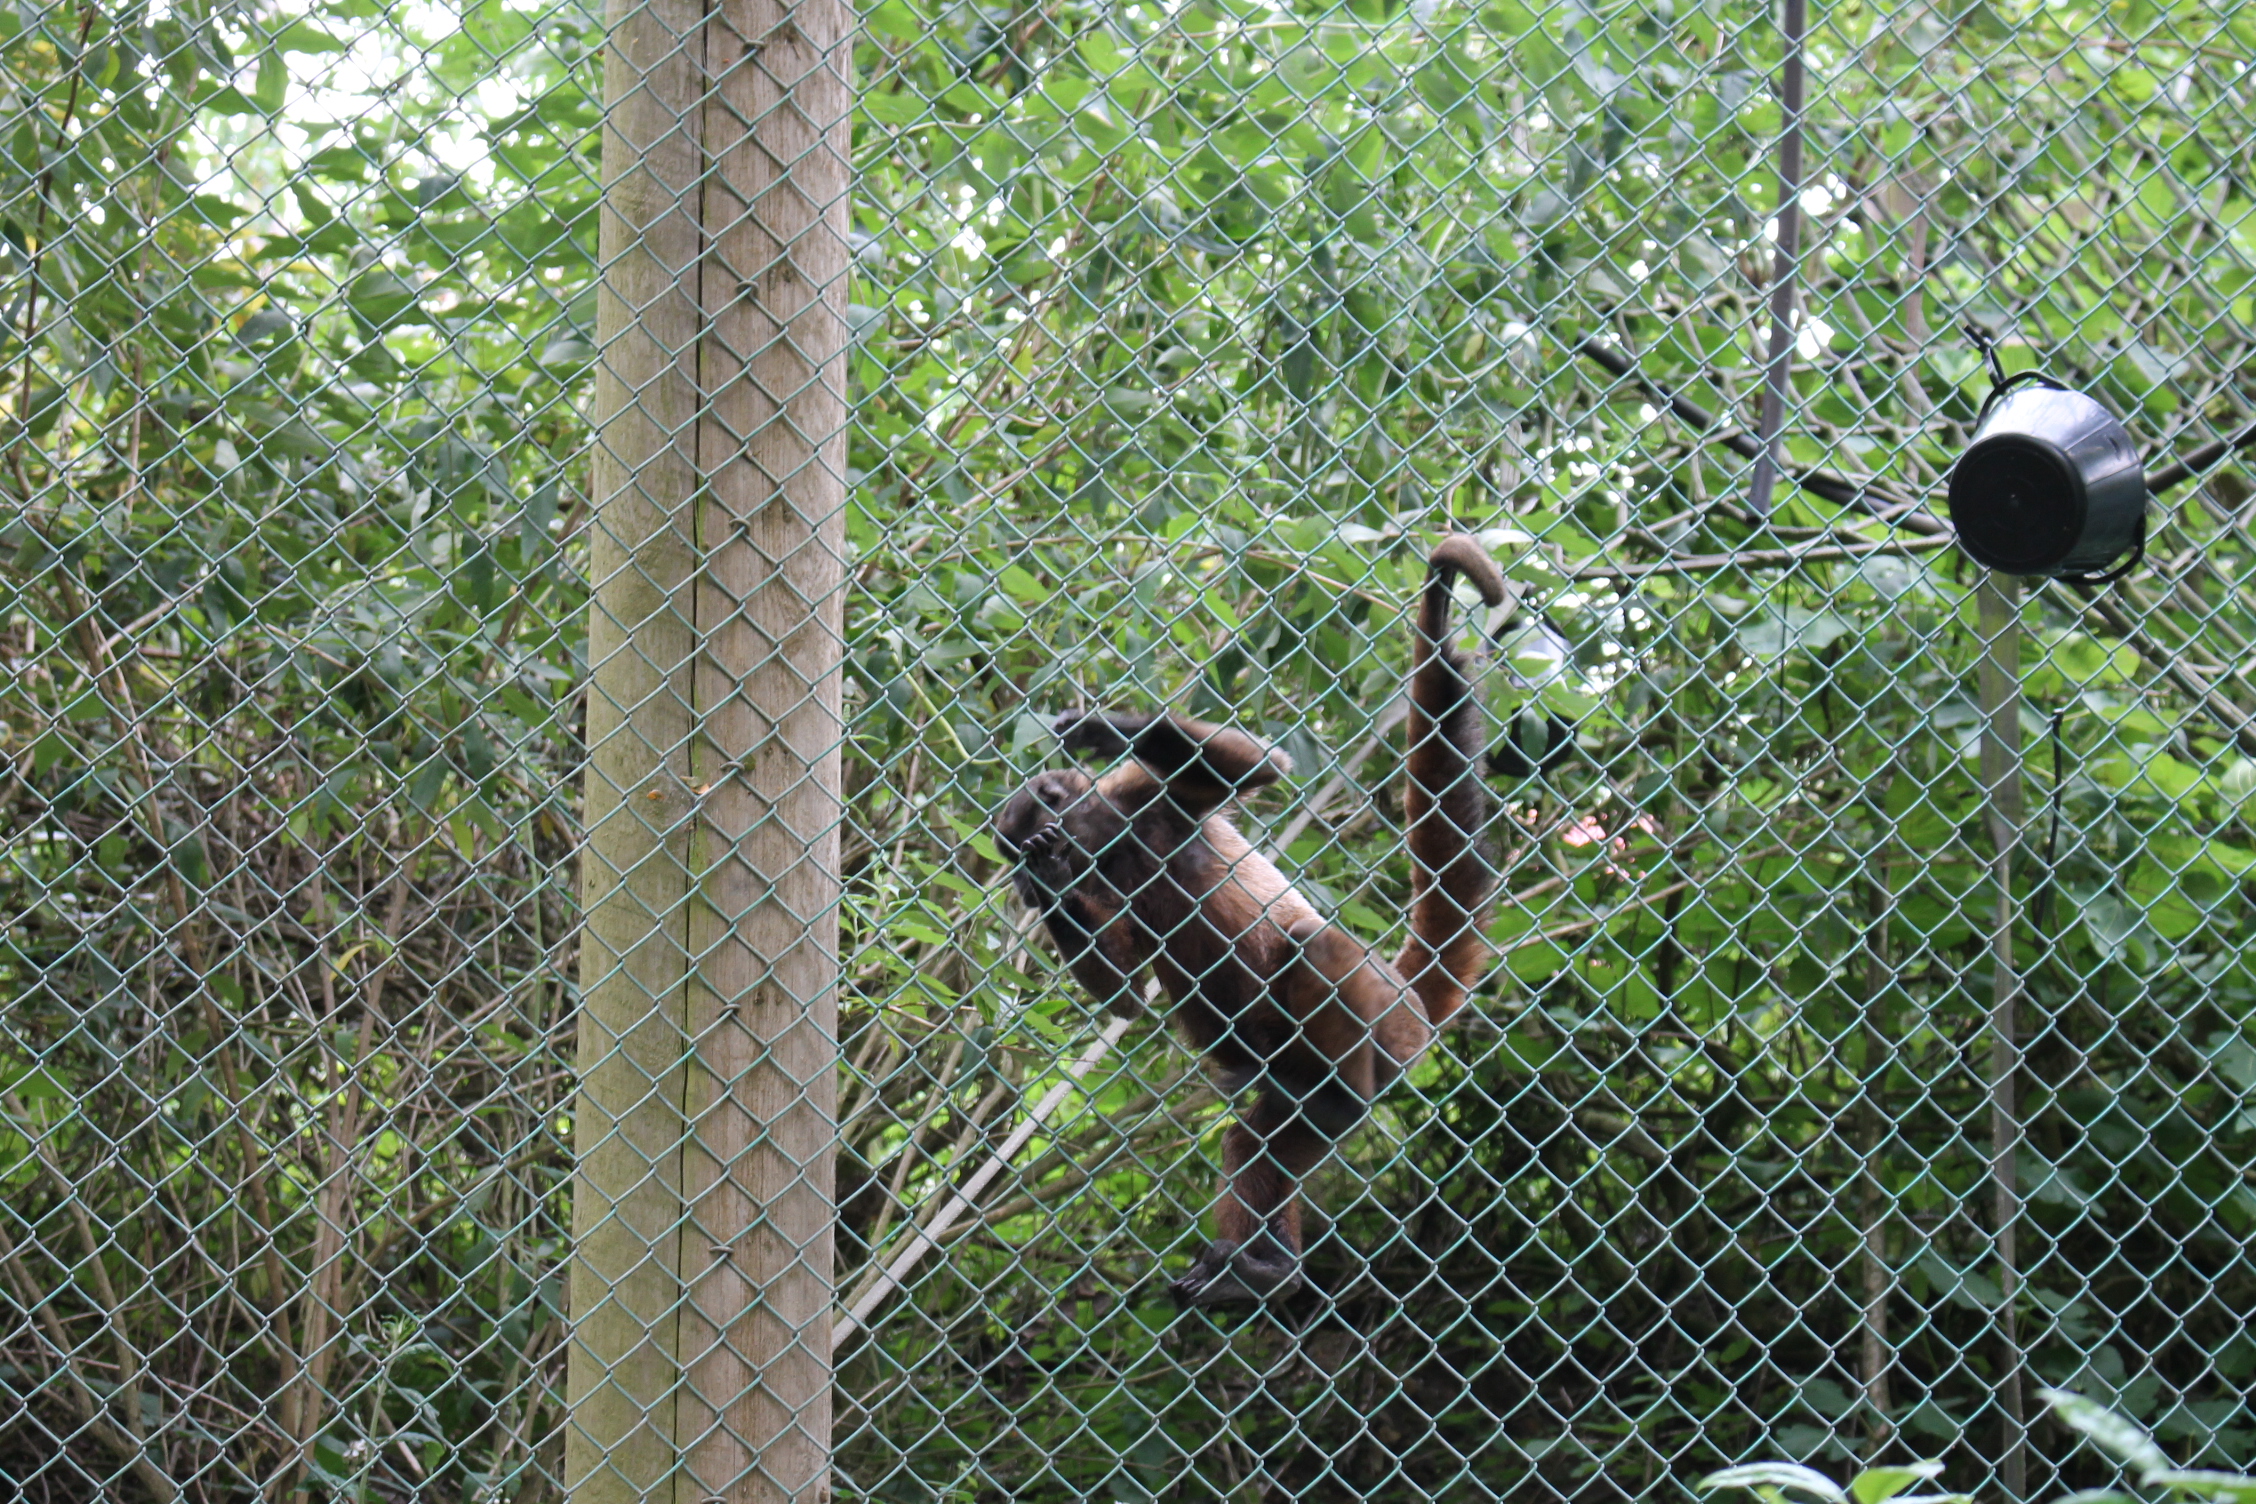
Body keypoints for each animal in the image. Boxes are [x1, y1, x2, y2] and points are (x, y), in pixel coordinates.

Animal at [991, 535, 1508, 1307]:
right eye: (1015, 857)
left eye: (1036, 835)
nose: (1029, 878)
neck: (1112, 842)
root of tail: (1409, 998)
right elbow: (1127, 997)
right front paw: (1050, 890)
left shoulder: (1139, 795)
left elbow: (1256, 766)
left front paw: (1108, 729)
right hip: (1289, 1069)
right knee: (1257, 1134)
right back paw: (1266, 1270)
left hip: (1386, 1028)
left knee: (1313, 950)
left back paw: (1340, 1106)